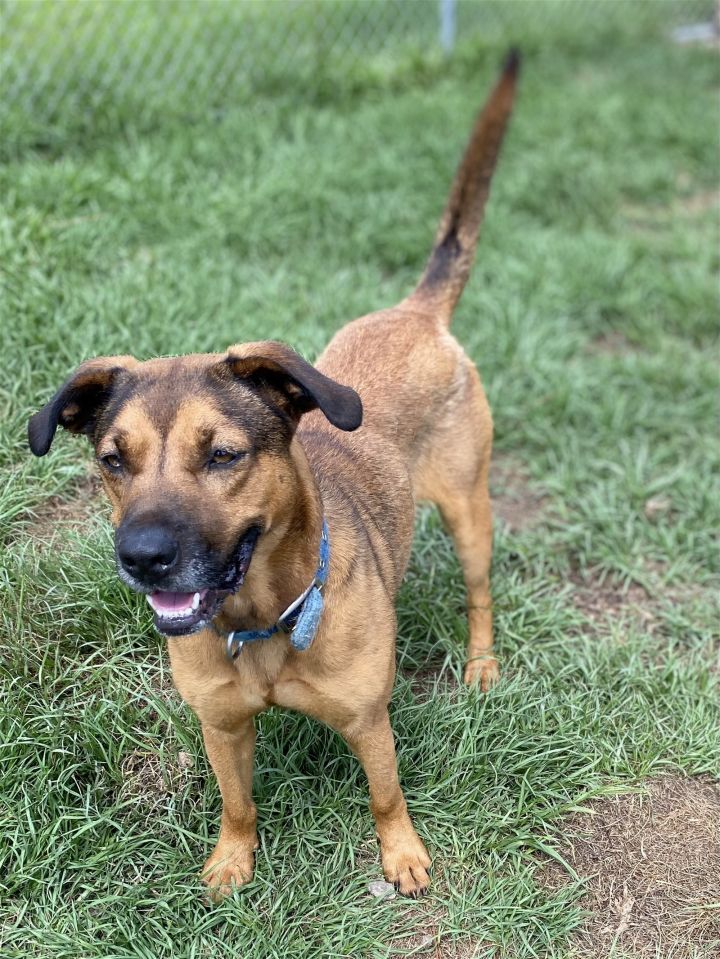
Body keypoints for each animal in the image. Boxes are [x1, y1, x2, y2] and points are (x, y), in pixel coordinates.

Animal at [28, 56, 520, 900]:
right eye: (112, 460)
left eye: (223, 454)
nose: (142, 556)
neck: (258, 618)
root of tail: (415, 312)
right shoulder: (221, 725)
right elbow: (237, 802)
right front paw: (232, 862)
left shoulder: (369, 722)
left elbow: (385, 793)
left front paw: (402, 855)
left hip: (469, 510)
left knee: (480, 593)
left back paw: (482, 664)